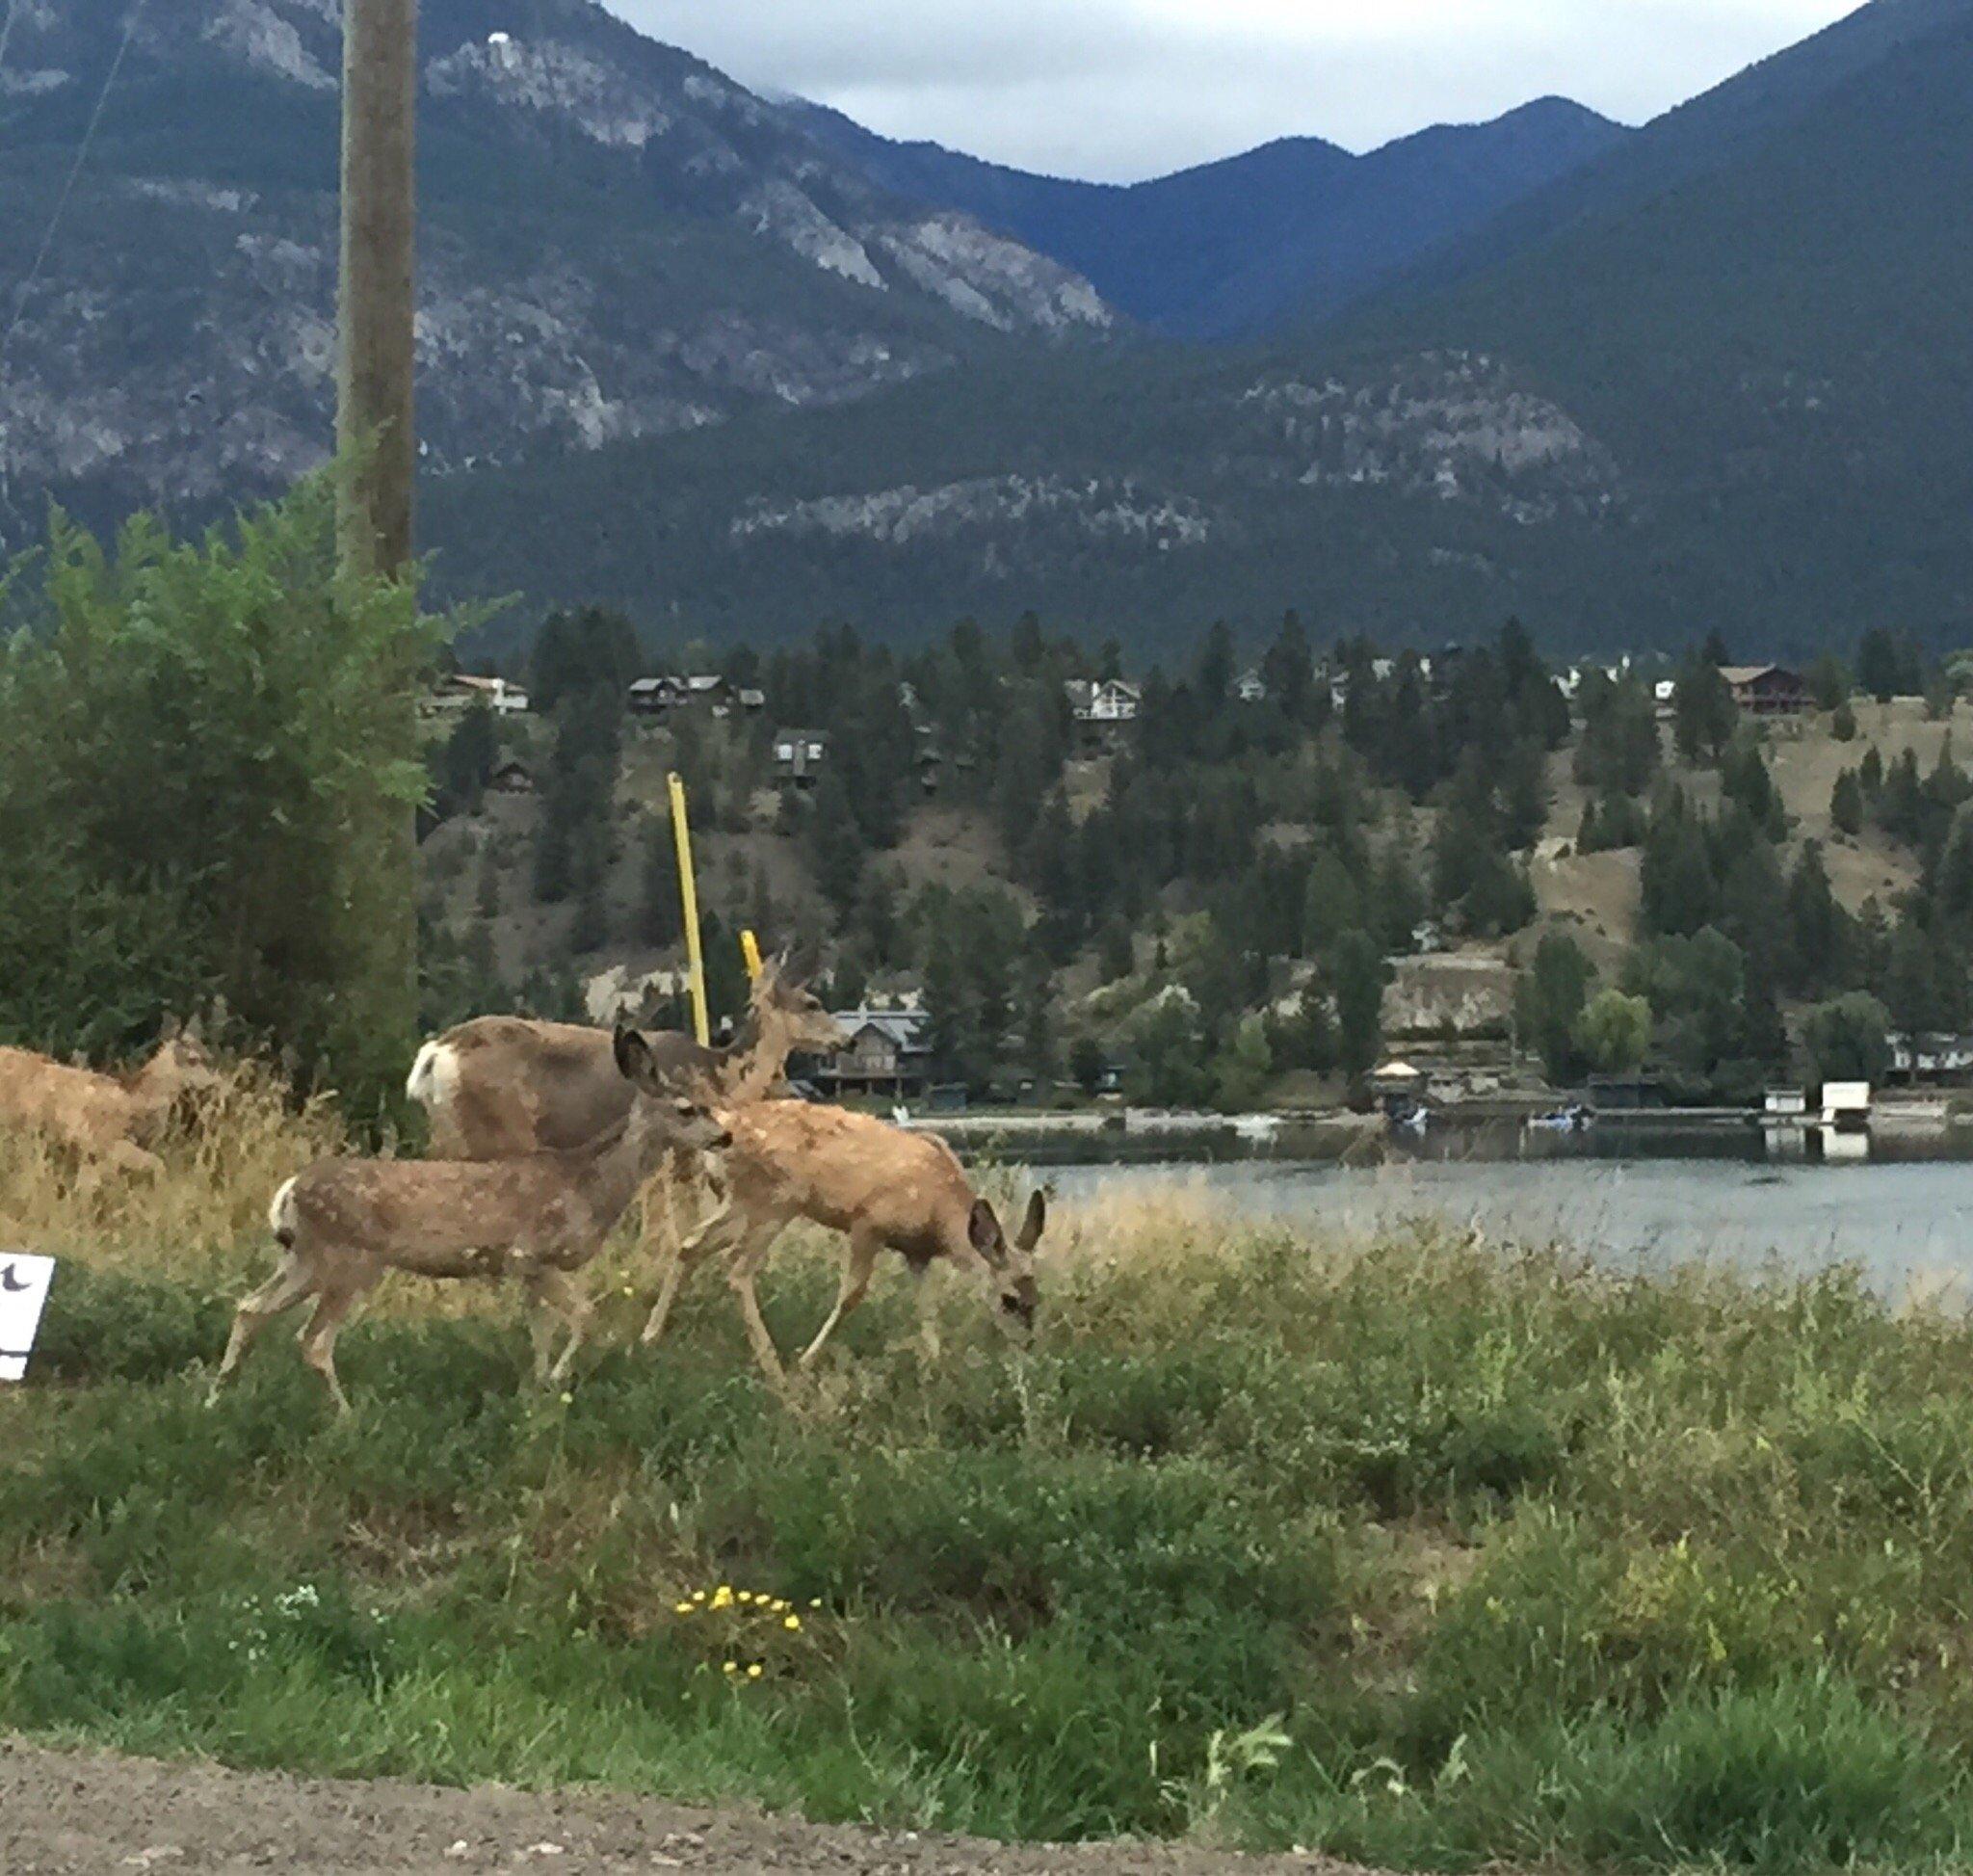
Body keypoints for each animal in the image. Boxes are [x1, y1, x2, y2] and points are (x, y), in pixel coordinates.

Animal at [0, 1017, 222, 1183]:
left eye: (208, 1052)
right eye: (193, 1059)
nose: (214, 1082)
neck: (134, 1101)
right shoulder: (107, 1142)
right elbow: (157, 1164)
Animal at [210, 1025, 733, 1404]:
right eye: (688, 1109)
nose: (725, 1136)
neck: (589, 1185)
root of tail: (288, 1193)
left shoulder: (529, 1269)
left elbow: (540, 1329)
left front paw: (537, 1386)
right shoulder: (530, 1253)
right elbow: (585, 1314)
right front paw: (557, 1377)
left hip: (304, 1259)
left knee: (249, 1308)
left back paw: (215, 1398)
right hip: (348, 1259)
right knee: (313, 1340)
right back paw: (346, 1416)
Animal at [643, 1097, 1049, 1388]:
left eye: (1036, 1298)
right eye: (1009, 1300)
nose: (1026, 1346)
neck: (940, 1213)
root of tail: (723, 1128)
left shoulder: (917, 1254)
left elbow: (927, 1308)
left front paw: (934, 1366)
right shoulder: (867, 1224)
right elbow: (852, 1294)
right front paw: (806, 1361)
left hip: (741, 1202)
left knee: (691, 1244)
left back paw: (651, 1335)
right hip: (774, 1202)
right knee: (738, 1266)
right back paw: (774, 1368)